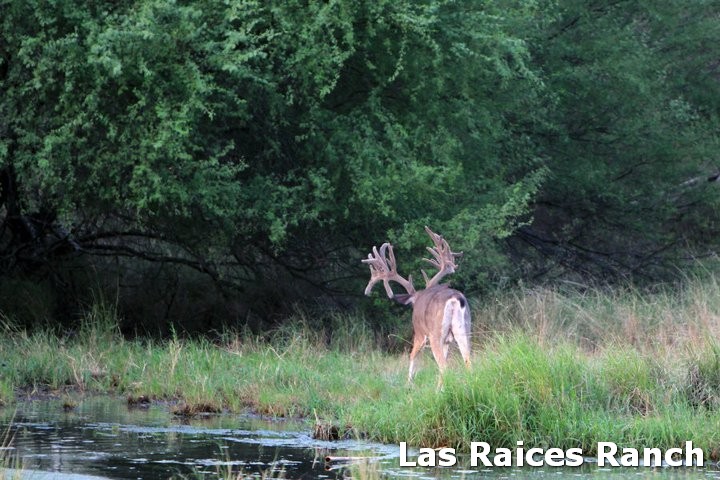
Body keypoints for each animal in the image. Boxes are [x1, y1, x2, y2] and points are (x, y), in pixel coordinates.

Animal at [360, 227, 472, 384]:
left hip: (435, 333)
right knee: (468, 362)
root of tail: (455, 299)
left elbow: (412, 356)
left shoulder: (419, 333)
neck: (417, 297)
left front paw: (409, 384)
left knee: (443, 366)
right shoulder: (446, 341)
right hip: (464, 329)